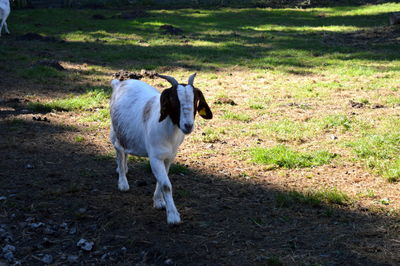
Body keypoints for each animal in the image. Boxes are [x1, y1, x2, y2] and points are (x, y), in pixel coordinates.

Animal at [109, 73, 212, 224]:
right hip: (116, 130)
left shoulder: (169, 157)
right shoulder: (155, 157)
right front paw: (173, 216)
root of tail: (119, 83)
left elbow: (161, 180)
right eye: (174, 101)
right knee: (119, 150)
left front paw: (158, 202)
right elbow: (166, 185)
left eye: (195, 100)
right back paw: (123, 182)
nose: (188, 126)